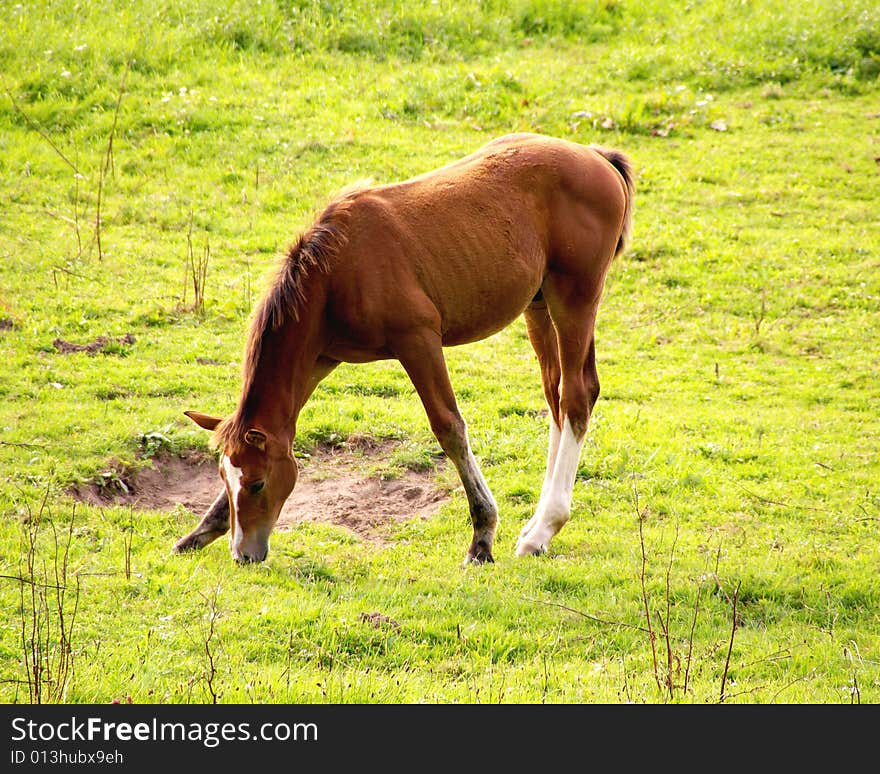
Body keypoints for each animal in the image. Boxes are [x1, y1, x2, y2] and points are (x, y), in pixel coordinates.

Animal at [174, 135, 632, 564]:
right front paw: (201, 531)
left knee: (576, 397)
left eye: (258, 483)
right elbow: (281, 428)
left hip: (574, 299)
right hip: (538, 307)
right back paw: (537, 526)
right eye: (225, 480)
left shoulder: (419, 341)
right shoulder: (320, 358)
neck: (335, 273)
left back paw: (544, 528)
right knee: (556, 397)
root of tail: (596, 156)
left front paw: (482, 537)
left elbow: (449, 428)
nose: (243, 554)